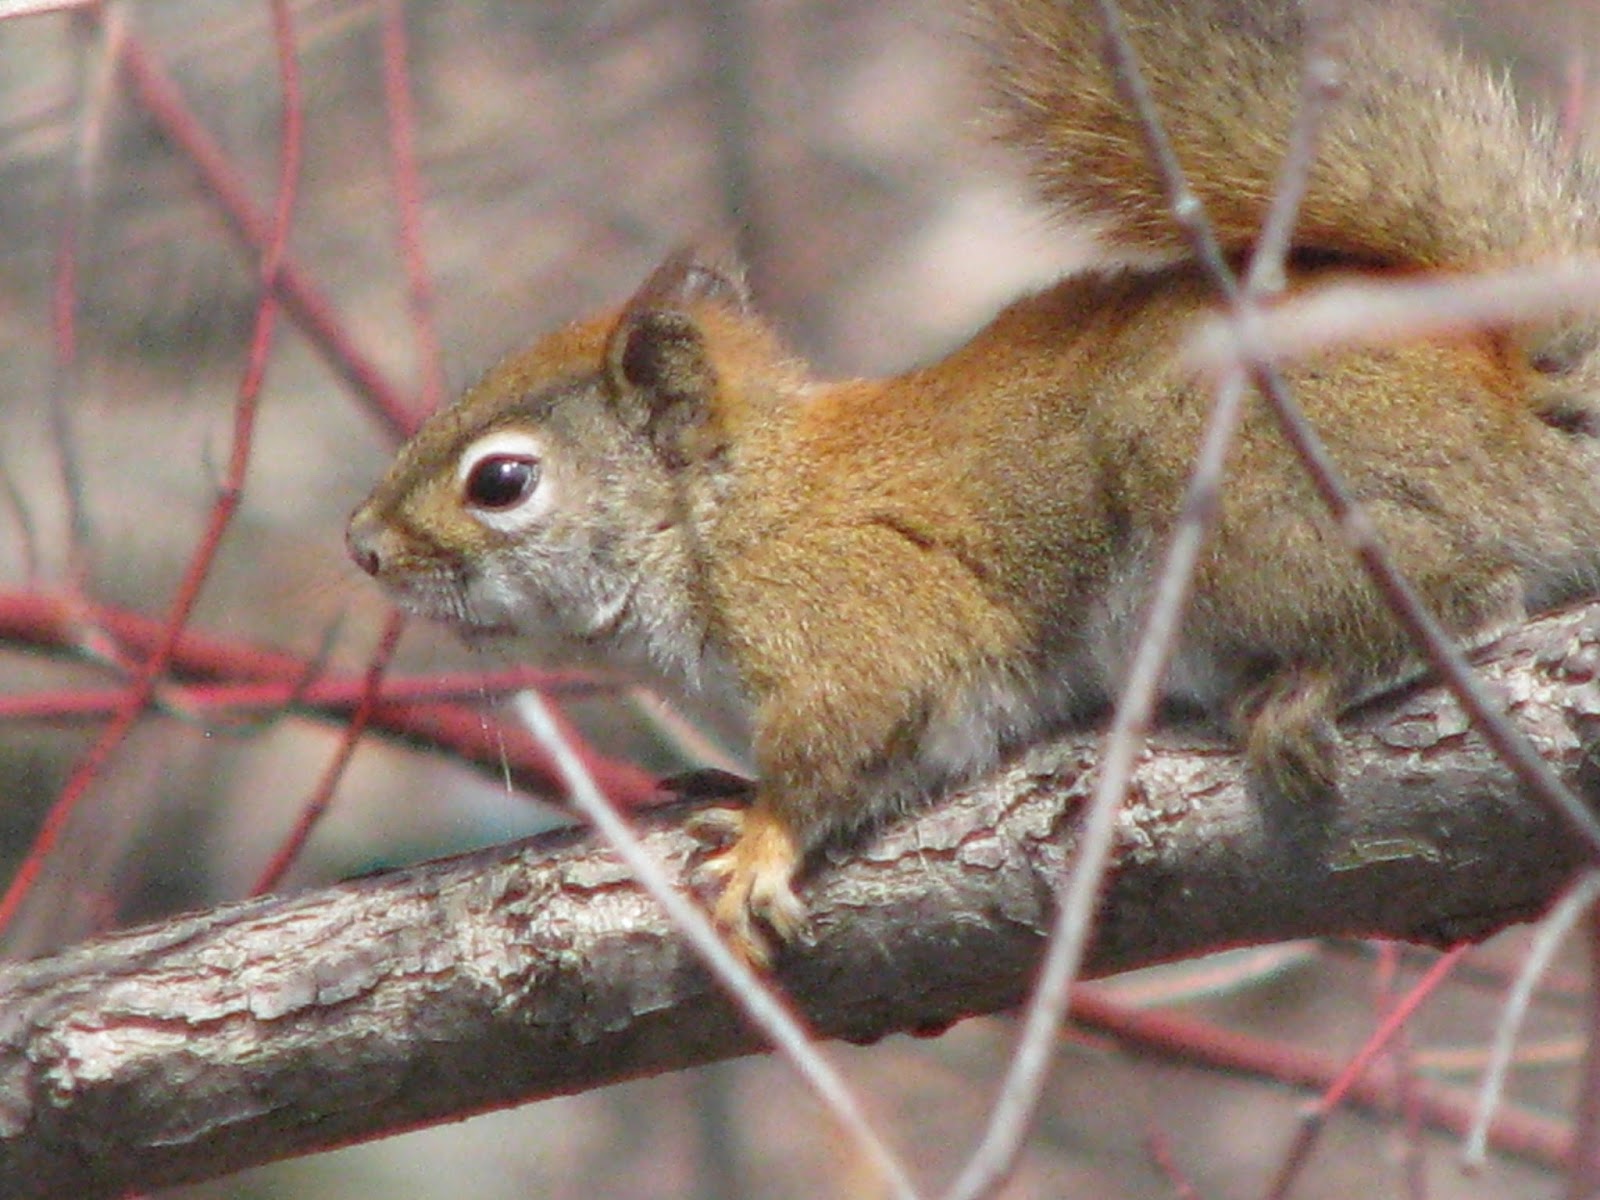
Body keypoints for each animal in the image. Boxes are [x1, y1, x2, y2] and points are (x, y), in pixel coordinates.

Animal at [347, 0, 1600, 962]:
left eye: (501, 482)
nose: (361, 545)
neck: (722, 513)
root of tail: (1518, 403)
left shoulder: (851, 609)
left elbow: (844, 735)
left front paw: (758, 840)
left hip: (1240, 496)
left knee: (1469, 591)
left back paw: (1317, 680)